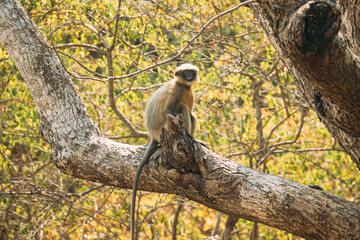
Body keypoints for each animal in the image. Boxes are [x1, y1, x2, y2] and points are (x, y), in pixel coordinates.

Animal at [131, 63, 200, 240]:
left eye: (191, 72)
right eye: (185, 72)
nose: (189, 76)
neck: (185, 86)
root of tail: (153, 136)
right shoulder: (177, 89)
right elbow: (168, 109)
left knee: (192, 114)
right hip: (162, 128)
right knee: (184, 109)